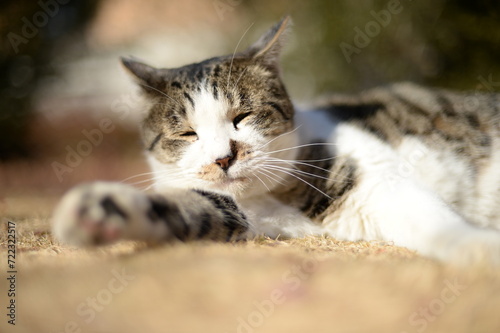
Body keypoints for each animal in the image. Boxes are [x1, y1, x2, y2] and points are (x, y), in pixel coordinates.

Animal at [52, 16, 500, 264]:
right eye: (187, 133)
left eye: (243, 116)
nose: (223, 158)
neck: (274, 195)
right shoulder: (241, 212)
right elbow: (188, 207)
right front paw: (95, 210)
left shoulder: (382, 181)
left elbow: (438, 223)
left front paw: (480, 250)